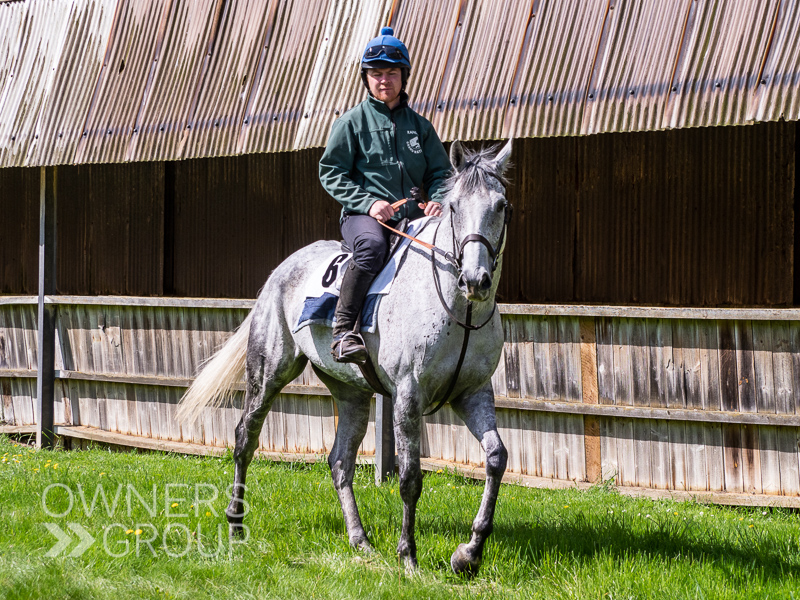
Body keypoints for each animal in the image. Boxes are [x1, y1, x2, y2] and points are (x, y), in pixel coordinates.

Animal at [177, 138, 512, 576]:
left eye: (501, 205)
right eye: (454, 207)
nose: (475, 280)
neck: (460, 311)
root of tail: (280, 271)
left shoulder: (473, 394)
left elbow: (496, 458)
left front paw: (468, 554)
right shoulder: (407, 396)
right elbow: (410, 477)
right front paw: (409, 556)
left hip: (352, 394)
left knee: (339, 461)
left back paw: (360, 540)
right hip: (268, 372)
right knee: (244, 438)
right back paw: (236, 524)